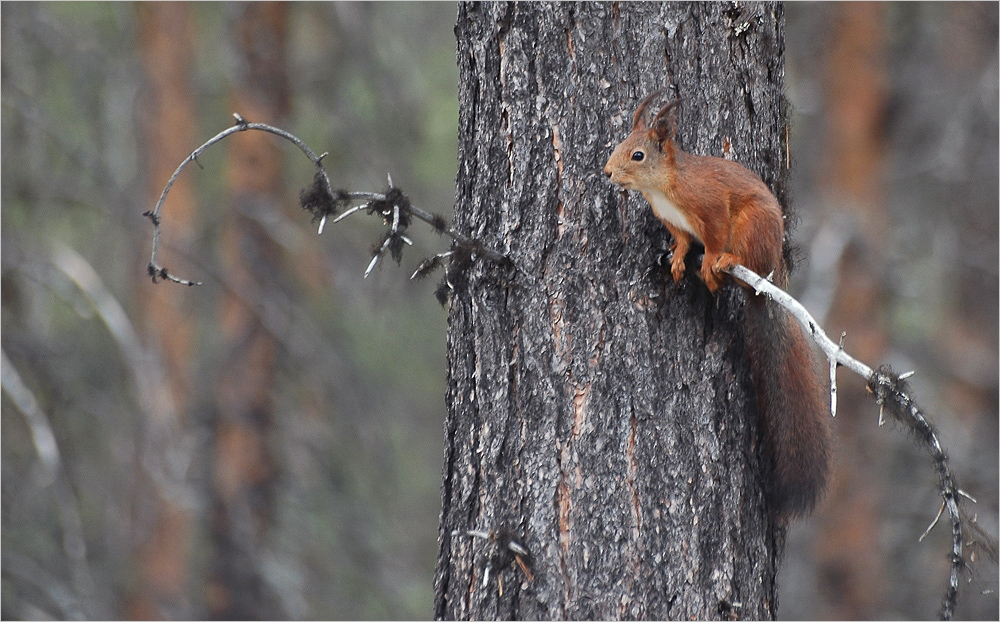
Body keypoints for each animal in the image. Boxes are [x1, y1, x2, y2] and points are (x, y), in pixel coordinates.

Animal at [604, 92, 832, 520]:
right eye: (620, 145)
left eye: (638, 154)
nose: (608, 173)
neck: (664, 188)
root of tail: (767, 279)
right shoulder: (674, 223)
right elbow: (680, 240)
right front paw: (679, 258)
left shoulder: (709, 207)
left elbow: (712, 235)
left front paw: (708, 260)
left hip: (752, 228)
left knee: (740, 254)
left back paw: (726, 263)